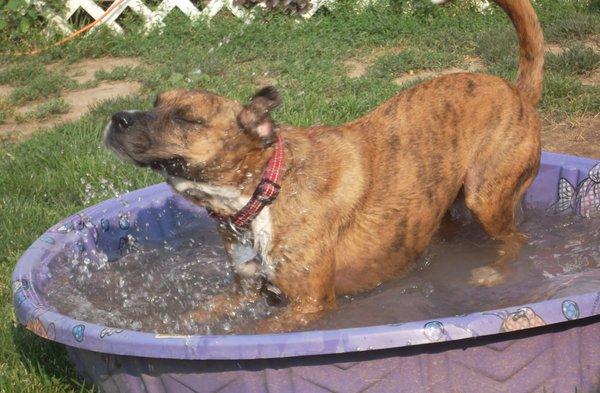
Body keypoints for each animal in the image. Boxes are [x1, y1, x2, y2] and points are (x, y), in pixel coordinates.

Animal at [103, 0, 544, 330]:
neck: (265, 190)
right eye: (156, 102)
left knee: (516, 239)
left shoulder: (308, 305)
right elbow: (193, 317)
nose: (116, 118)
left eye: (185, 119)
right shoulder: (242, 292)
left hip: (486, 198)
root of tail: (517, 92)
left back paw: (495, 272)